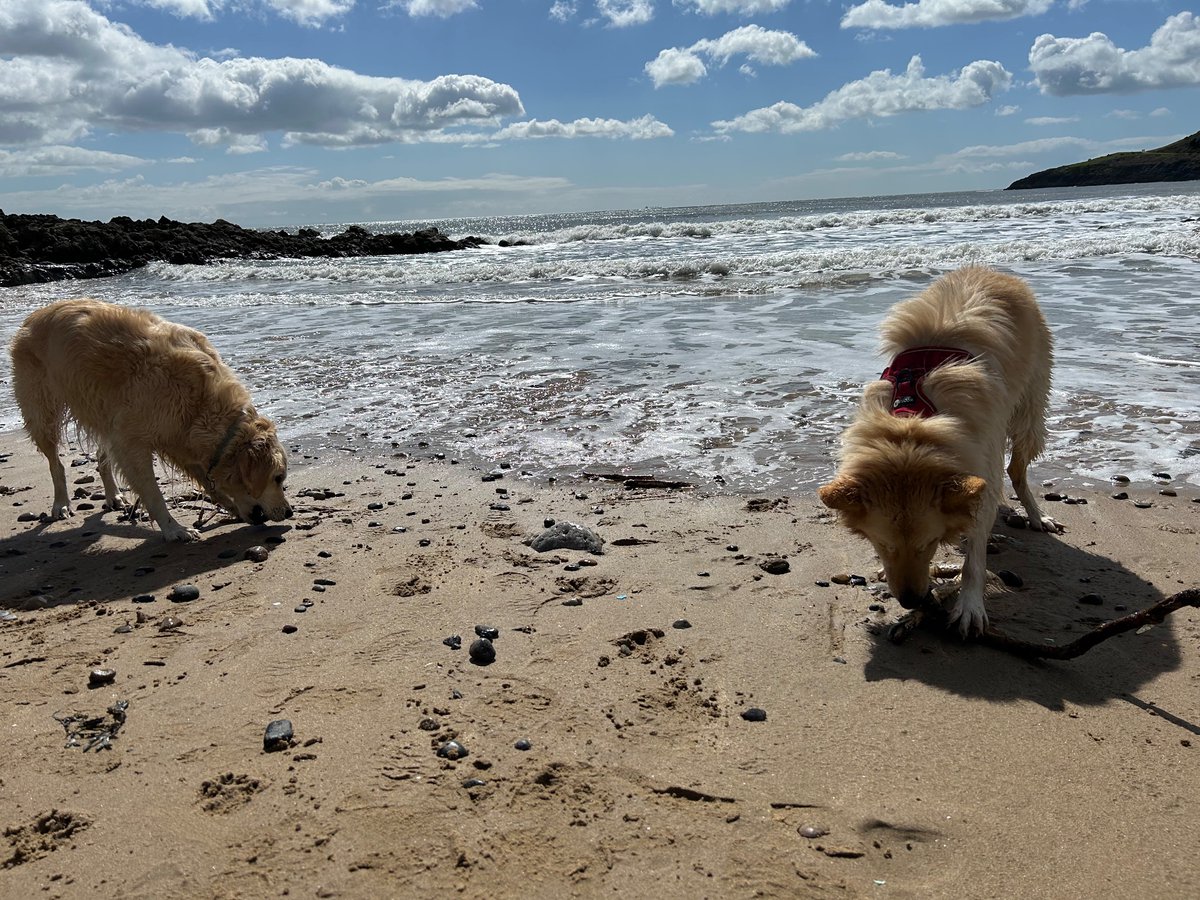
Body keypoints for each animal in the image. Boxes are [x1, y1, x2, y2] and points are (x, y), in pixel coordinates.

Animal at [9, 301, 292, 542]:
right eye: (278, 477)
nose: (289, 512)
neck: (201, 402)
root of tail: (34, 315)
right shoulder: (132, 440)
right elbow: (153, 492)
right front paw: (174, 529)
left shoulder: (179, 439)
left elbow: (209, 481)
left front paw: (230, 506)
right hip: (42, 409)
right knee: (55, 462)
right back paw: (62, 504)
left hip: (102, 410)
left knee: (102, 456)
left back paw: (113, 496)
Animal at [816, 264, 1060, 638]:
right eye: (883, 545)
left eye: (927, 544)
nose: (911, 601)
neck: (912, 428)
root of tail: (995, 272)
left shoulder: (982, 465)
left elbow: (975, 555)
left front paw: (970, 605)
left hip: (1030, 406)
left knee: (1017, 469)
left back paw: (1035, 514)